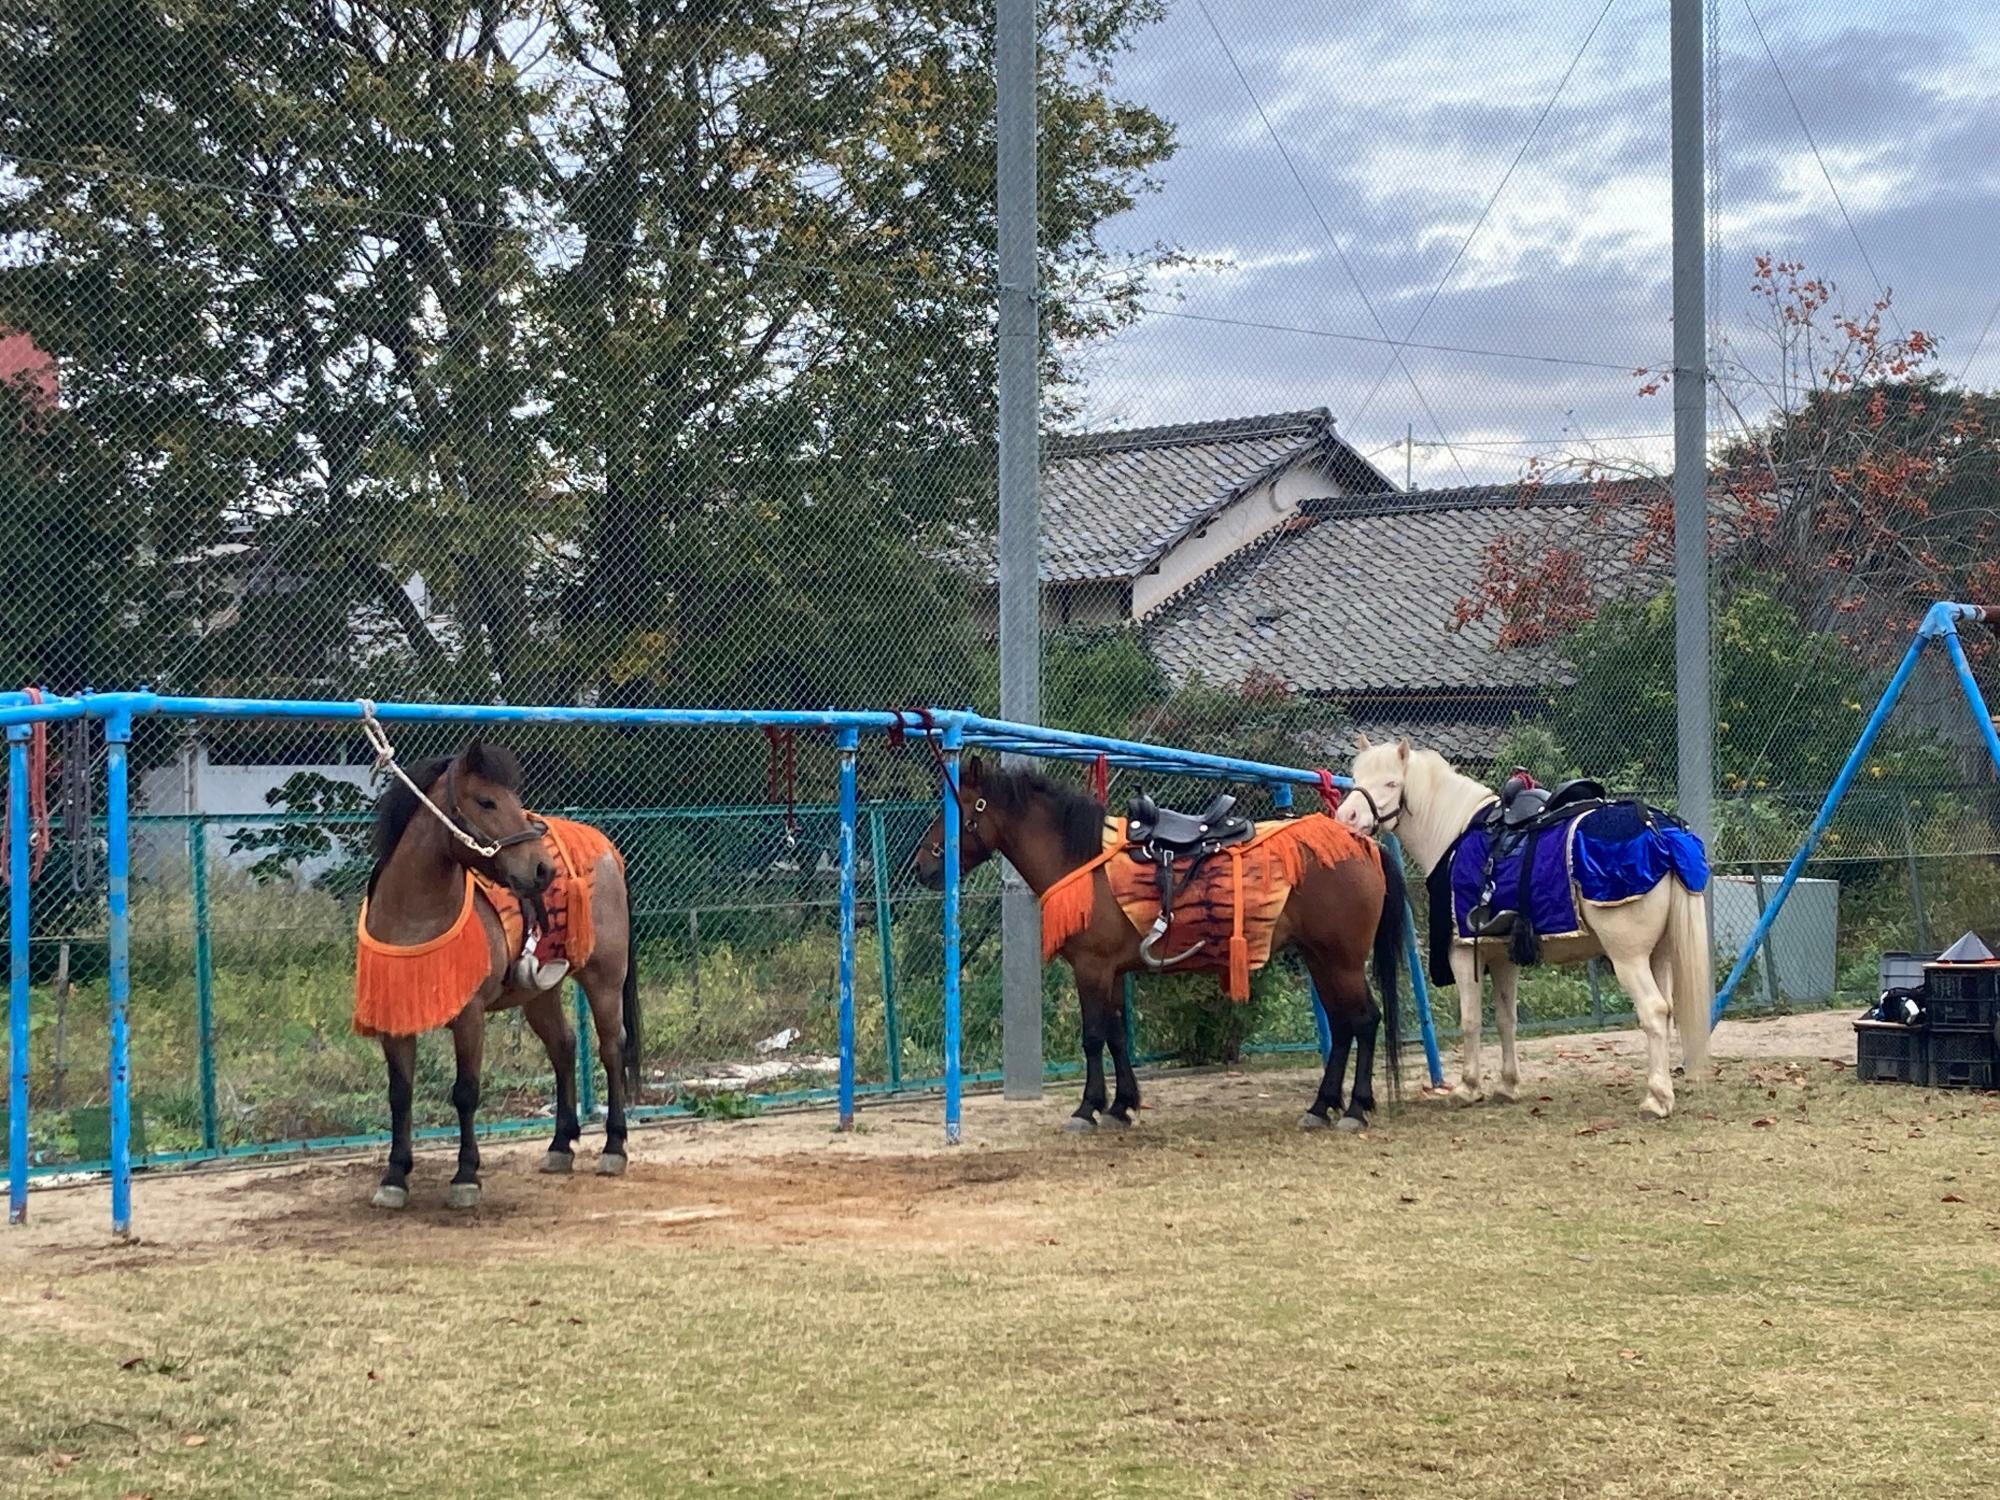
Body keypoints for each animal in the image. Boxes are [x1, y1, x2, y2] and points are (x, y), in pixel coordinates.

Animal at [356, 748, 640, 1216]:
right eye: (486, 801)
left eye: (514, 799)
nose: (542, 869)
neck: (415, 918)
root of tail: (607, 851)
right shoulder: (394, 1020)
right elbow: (400, 1094)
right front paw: (394, 1177)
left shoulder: (469, 1016)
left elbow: (466, 1091)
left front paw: (465, 1176)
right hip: (539, 993)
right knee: (563, 1046)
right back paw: (560, 1145)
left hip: (604, 977)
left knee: (611, 1049)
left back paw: (614, 1147)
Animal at [916, 764, 1400, 1136]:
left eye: (956, 810)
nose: (922, 866)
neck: (1081, 860)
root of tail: (1363, 843)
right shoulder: (1110, 971)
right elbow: (1116, 1036)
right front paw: (1120, 1106)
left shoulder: (1091, 968)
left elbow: (1093, 1037)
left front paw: (1086, 1109)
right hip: (1321, 958)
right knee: (1343, 1025)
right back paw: (1321, 1106)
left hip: (1341, 959)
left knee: (1363, 1021)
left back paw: (1356, 1108)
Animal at [1336, 736, 1712, 1120]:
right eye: (1356, 779)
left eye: (1391, 783)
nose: (1346, 817)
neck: (1455, 832)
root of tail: (1660, 832)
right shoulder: (1504, 957)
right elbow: (1506, 1019)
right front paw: (1507, 1085)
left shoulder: (1463, 952)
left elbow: (1470, 1020)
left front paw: (1468, 1088)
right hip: (1660, 953)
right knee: (1667, 1010)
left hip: (1628, 957)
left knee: (1653, 1011)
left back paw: (1656, 1099)